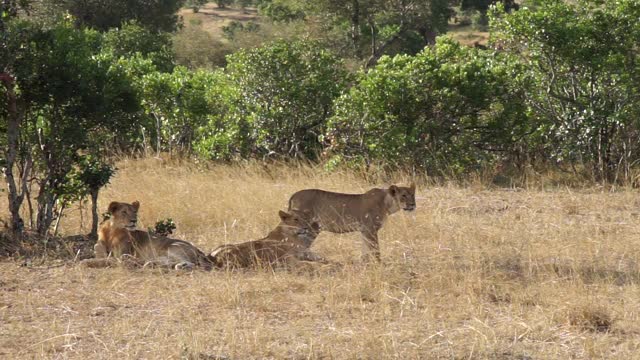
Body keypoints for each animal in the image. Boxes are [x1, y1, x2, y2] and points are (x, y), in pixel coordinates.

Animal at [80, 200, 212, 270]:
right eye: (124, 212)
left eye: (134, 212)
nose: (134, 220)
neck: (112, 231)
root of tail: (197, 249)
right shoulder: (101, 247)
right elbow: (99, 252)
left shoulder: (122, 254)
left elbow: (106, 259)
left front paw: (86, 261)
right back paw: (148, 264)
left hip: (173, 247)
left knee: (189, 263)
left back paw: (181, 265)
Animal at [288, 183, 418, 262]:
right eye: (403, 195)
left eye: (412, 195)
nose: (412, 204)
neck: (387, 204)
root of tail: (293, 194)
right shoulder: (370, 229)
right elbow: (375, 249)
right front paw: (378, 264)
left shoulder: (365, 231)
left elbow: (365, 249)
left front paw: (364, 264)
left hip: (313, 228)